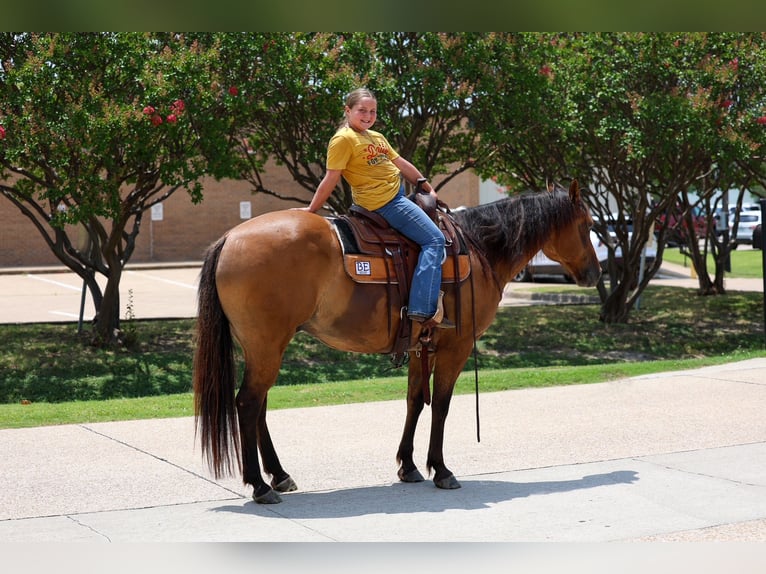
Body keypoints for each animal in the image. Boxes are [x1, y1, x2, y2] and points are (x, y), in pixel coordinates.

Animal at [193, 179, 601, 504]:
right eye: (588, 224)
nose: (596, 273)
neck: (479, 249)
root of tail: (229, 238)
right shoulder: (455, 348)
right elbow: (441, 406)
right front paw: (441, 469)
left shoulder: (422, 346)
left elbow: (415, 402)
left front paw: (408, 466)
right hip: (266, 345)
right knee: (248, 403)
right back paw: (261, 486)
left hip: (263, 345)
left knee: (259, 405)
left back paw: (279, 475)